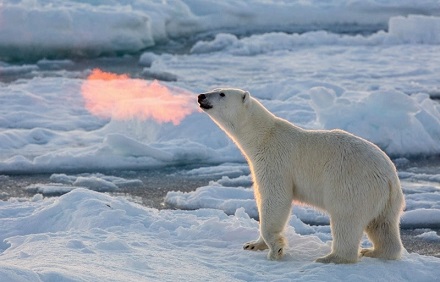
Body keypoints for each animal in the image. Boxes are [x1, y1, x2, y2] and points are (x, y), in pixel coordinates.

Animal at [198, 88, 404, 264]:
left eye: (222, 93)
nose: (201, 96)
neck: (262, 136)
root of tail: (389, 178)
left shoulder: (275, 160)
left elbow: (275, 198)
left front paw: (276, 250)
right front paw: (253, 244)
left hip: (352, 184)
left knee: (346, 219)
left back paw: (331, 257)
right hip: (386, 201)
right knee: (382, 225)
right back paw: (374, 251)